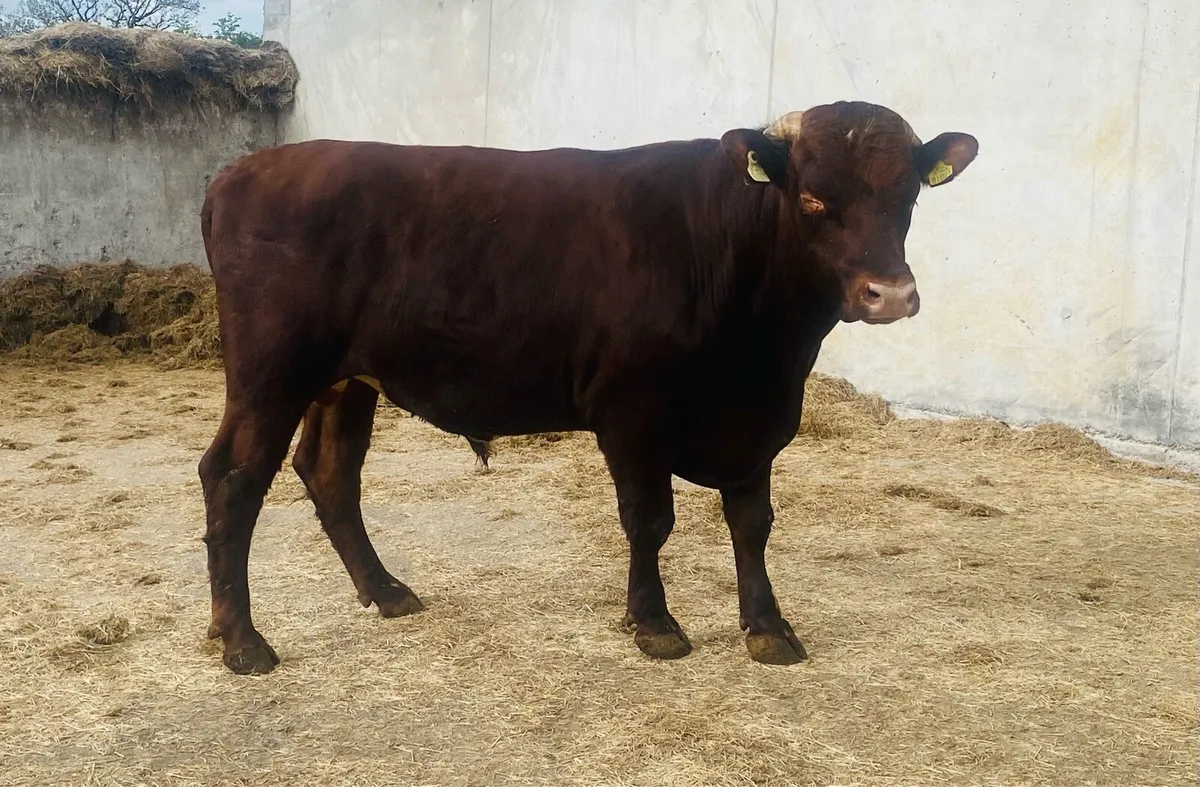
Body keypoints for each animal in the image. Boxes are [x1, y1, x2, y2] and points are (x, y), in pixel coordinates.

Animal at [198, 100, 977, 675]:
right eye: (814, 199)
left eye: (908, 193)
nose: (889, 294)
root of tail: (245, 168)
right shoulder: (631, 412)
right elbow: (650, 519)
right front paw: (654, 622)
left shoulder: (759, 421)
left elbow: (752, 522)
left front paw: (768, 626)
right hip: (270, 372)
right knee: (233, 477)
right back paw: (242, 639)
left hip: (345, 378)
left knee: (329, 472)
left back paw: (385, 592)